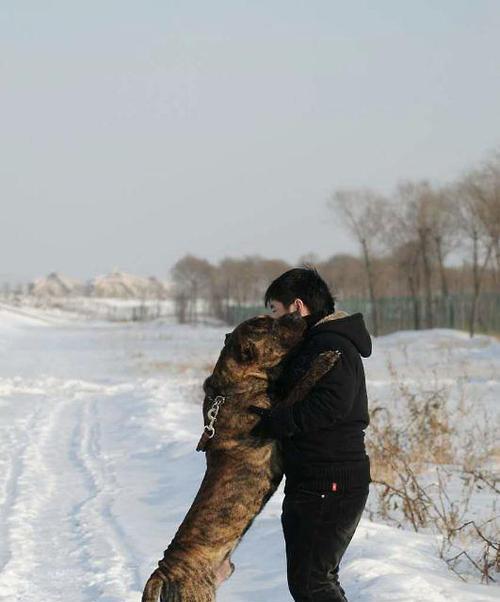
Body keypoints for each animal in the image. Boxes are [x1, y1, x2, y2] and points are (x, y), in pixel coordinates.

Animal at [143, 312, 342, 596]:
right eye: (270, 327)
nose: (294, 315)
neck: (231, 386)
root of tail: (161, 573)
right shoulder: (275, 415)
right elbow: (301, 386)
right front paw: (323, 361)